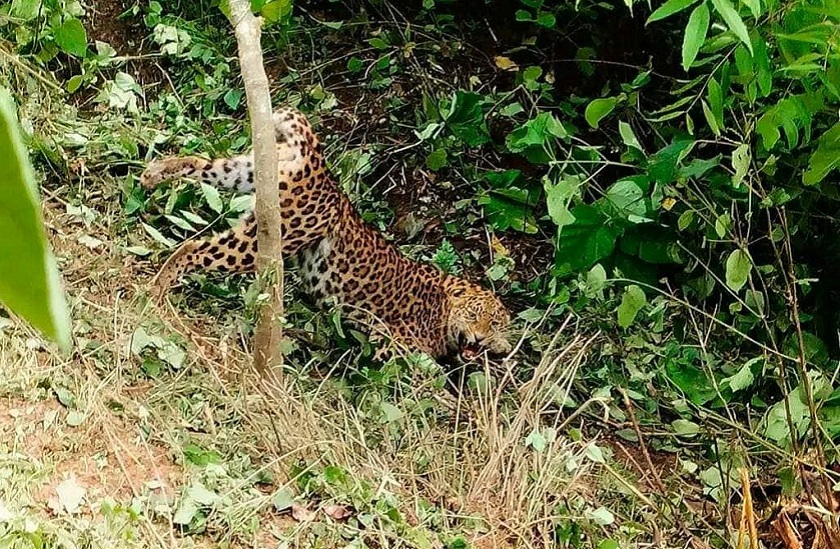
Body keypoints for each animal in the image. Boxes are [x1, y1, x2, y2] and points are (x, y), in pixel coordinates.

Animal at [140, 106, 512, 360]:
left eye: (495, 324)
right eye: (476, 316)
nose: (480, 339)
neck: (443, 305)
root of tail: (321, 167)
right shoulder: (389, 344)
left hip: (247, 171)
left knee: (202, 162)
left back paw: (154, 172)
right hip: (265, 237)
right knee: (193, 247)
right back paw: (157, 288)